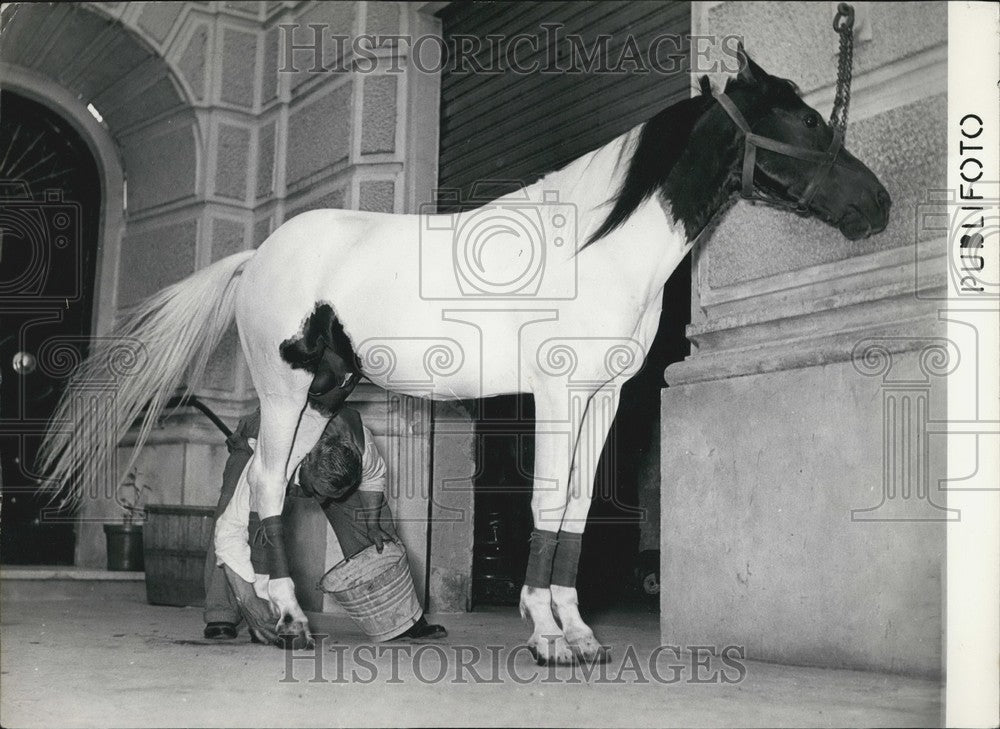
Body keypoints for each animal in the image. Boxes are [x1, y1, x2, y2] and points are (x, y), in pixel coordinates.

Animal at [39, 49, 892, 664]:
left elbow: (574, 511)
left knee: (239, 509)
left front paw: (579, 632)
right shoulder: (556, 396)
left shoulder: (605, 399)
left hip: (321, 398)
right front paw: (546, 634)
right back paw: (288, 618)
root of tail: (257, 256)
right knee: (269, 495)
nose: (877, 206)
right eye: (806, 119)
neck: (599, 247)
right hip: (285, 397)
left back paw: (271, 620)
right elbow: (545, 506)